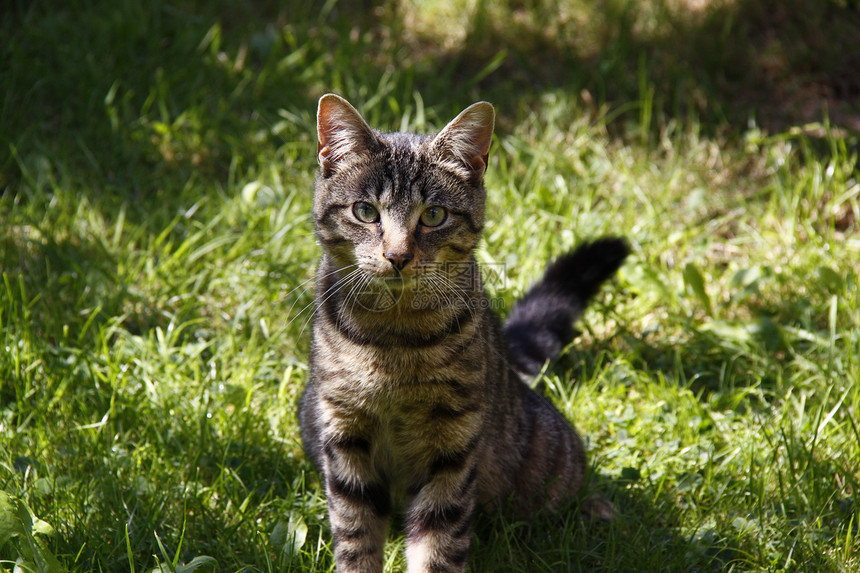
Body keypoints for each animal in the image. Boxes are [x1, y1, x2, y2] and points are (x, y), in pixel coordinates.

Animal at [298, 95, 628, 572]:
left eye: (433, 215)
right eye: (365, 211)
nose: (398, 257)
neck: (394, 338)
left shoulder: (452, 442)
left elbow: (438, 544)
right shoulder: (345, 434)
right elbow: (356, 536)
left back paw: (596, 511)